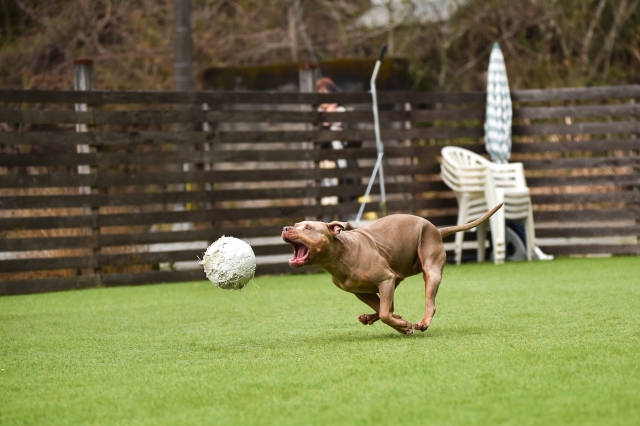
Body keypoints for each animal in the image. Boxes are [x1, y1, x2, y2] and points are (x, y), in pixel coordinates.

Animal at [282, 204, 502, 336]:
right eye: (296, 224)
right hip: (397, 276)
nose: (285, 228)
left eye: (308, 228)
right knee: (389, 307)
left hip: (430, 269)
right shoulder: (363, 290)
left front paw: (404, 327)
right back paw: (373, 317)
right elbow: (384, 309)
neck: (341, 255)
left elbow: (386, 313)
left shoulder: (385, 279)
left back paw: (422, 323)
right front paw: (399, 322)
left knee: (429, 302)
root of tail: (437, 230)